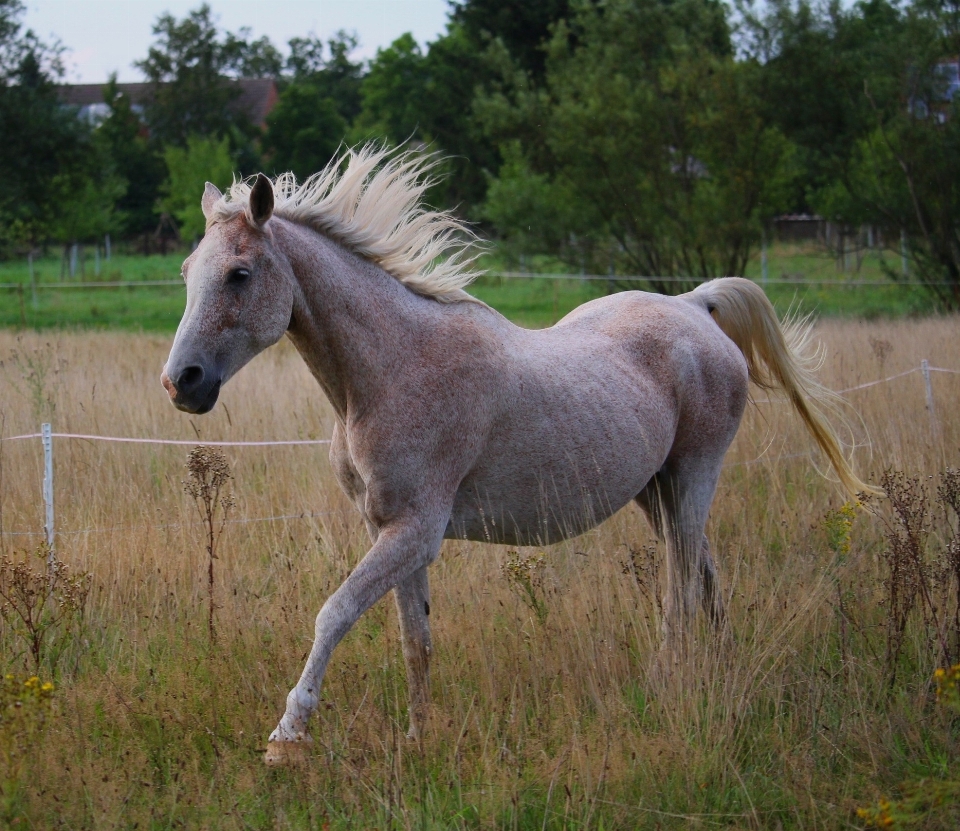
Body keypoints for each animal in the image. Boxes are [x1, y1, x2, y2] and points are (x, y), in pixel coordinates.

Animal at [161, 145, 872, 768]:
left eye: (239, 274)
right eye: (188, 273)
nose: (181, 383)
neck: (392, 369)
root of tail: (695, 305)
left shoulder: (414, 530)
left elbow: (333, 614)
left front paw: (287, 738)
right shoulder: (390, 529)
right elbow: (414, 640)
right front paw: (418, 739)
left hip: (696, 475)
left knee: (681, 591)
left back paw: (667, 685)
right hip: (656, 489)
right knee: (706, 575)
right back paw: (718, 674)